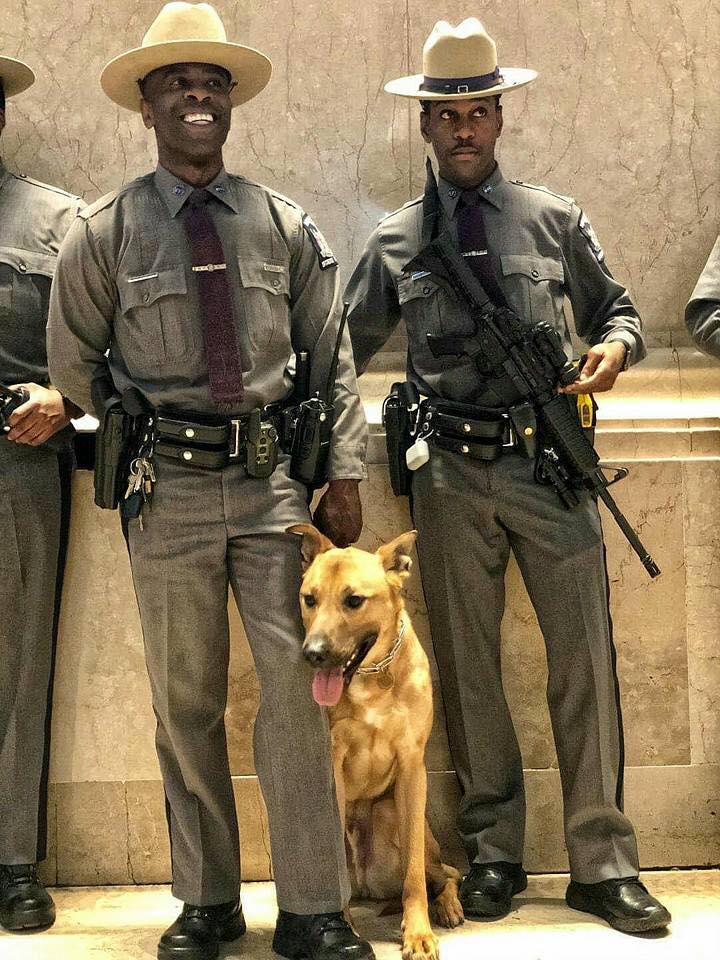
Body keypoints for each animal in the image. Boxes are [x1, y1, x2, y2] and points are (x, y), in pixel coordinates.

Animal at [290, 524, 464, 960]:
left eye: (354, 600)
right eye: (309, 599)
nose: (312, 653)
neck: (371, 674)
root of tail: (369, 887)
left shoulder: (412, 766)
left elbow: (414, 878)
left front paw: (418, 933)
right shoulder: (332, 767)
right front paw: (340, 928)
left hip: (395, 816)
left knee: (445, 874)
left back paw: (448, 906)